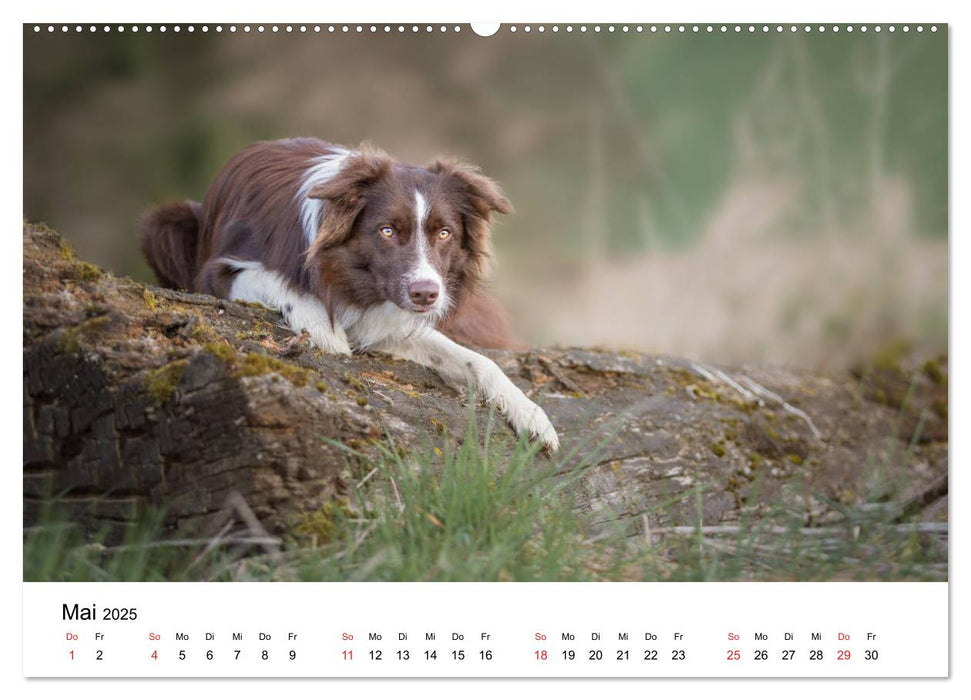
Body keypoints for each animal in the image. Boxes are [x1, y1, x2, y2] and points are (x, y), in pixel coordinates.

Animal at [140, 138, 560, 448]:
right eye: (387, 230)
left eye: (444, 233)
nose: (427, 294)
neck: (350, 277)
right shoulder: (218, 272)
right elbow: (277, 280)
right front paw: (321, 325)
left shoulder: (389, 319)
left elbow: (477, 361)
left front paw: (530, 413)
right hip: (164, 224)